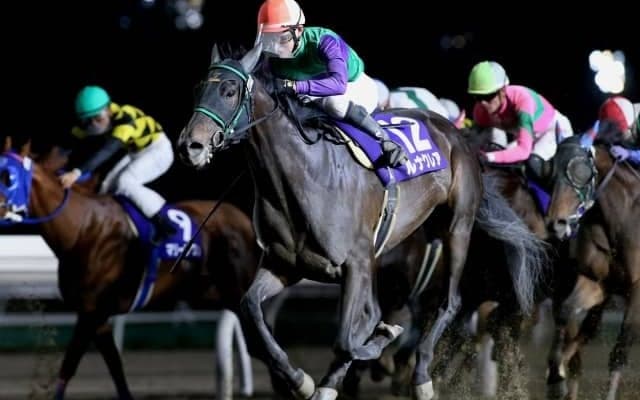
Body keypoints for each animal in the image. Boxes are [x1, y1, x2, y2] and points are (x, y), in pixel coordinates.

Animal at [0, 137, 260, 400]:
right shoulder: (96, 315)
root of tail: (244, 219)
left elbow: (70, 364)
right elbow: (115, 366)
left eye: (8, 177)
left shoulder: (92, 311)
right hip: (215, 292)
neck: (82, 229)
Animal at [176, 43, 545, 400]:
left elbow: (350, 338)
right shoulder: (285, 265)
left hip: (458, 227)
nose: (189, 146)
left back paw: (422, 377)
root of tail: (455, 134)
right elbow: (252, 311)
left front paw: (379, 342)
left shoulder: (358, 263)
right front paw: (301, 381)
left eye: (229, 90)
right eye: (197, 89)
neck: (303, 177)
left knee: (449, 303)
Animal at [544, 134, 640, 400]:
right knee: (587, 328)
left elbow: (620, 349)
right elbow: (569, 313)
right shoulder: (598, 282)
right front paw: (556, 372)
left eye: (580, 171)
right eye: (551, 170)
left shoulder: (637, 289)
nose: (556, 224)